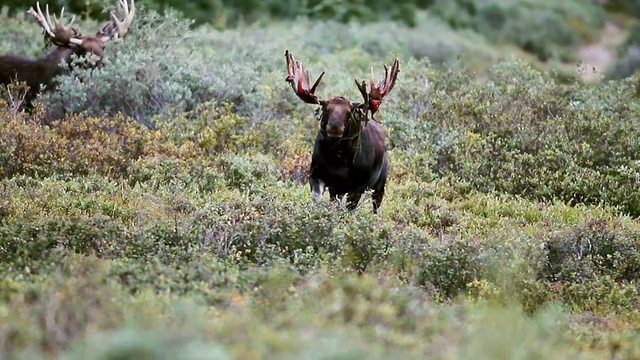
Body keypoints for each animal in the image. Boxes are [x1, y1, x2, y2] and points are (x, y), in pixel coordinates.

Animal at [284, 49, 400, 212]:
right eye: (327, 109)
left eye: (349, 112)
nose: (334, 127)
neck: (339, 159)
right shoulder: (317, 175)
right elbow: (317, 197)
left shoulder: (358, 186)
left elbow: (349, 209)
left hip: (380, 183)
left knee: (376, 206)